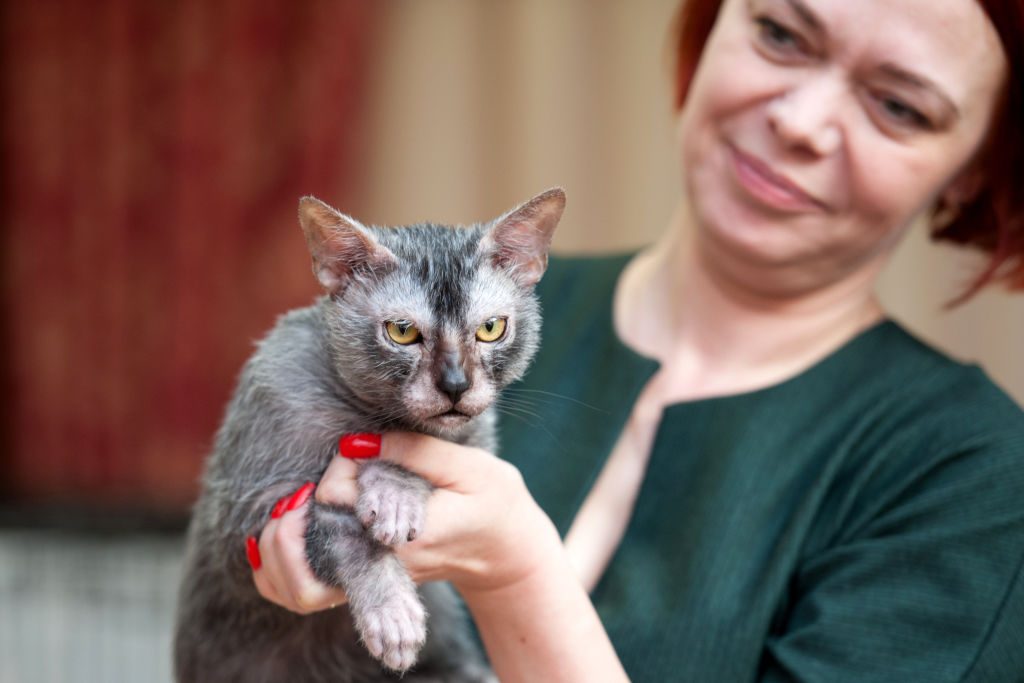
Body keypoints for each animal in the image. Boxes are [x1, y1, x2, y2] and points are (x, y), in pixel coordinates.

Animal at [172, 188, 565, 683]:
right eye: (403, 332)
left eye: (491, 329)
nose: (455, 385)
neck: (372, 419)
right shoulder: (245, 524)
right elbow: (340, 529)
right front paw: (391, 608)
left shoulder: (472, 444)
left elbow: (418, 453)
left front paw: (393, 488)